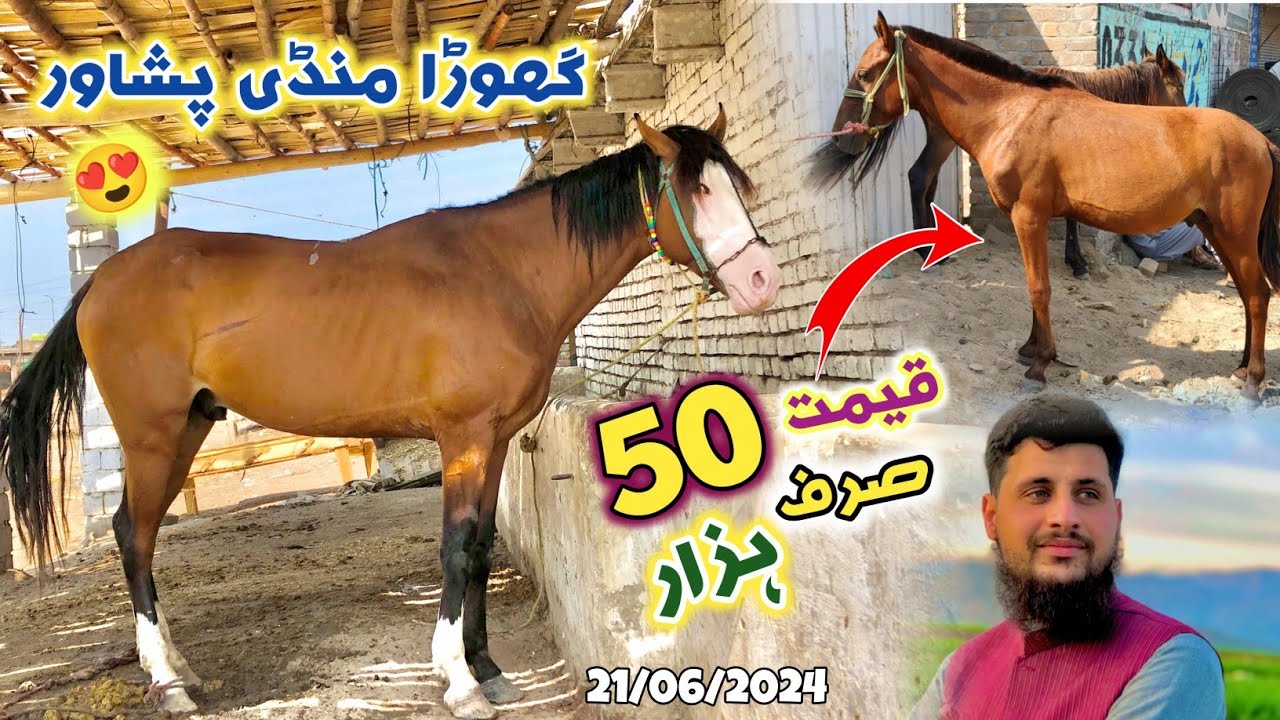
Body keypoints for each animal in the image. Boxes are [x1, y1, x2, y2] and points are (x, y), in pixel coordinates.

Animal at [0, 108, 782, 719]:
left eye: (736, 186)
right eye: (697, 189)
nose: (760, 279)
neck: (500, 273)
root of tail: (103, 277)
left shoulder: (496, 440)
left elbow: (482, 545)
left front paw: (487, 666)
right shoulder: (462, 439)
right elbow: (456, 547)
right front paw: (460, 682)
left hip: (188, 429)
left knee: (139, 532)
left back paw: (179, 667)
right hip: (152, 437)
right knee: (133, 536)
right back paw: (169, 683)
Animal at [901, 46, 1186, 279]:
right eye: (1179, 86)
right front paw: (1077, 263)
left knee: (927, 180)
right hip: (943, 141)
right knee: (919, 177)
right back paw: (924, 249)